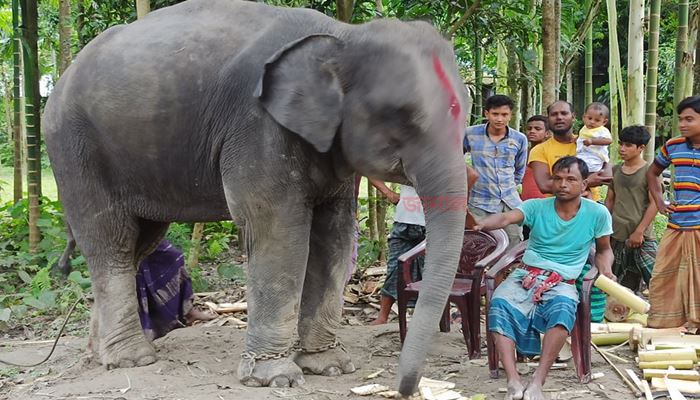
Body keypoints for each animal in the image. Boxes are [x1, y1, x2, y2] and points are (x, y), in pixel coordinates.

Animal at [42, 0, 470, 396]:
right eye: (401, 115)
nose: (404, 388)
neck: (343, 34)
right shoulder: (257, 126)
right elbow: (279, 231)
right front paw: (276, 378)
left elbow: (334, 236)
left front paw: (330, 367)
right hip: (75, 149)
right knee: (109, 239)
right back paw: (132, 358)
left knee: (139, 242)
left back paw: (103, 355)